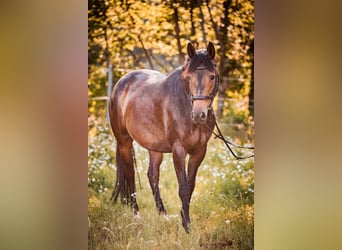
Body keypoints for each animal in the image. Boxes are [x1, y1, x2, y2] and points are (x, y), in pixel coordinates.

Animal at [108, 41, 219, 232]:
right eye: (189, 78)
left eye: (212, 76)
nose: (199, 115)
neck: (184, 103)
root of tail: (122, 81)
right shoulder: (178, 150)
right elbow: (183, 188)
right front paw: (186, 226)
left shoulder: (199, 151)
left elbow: (190, 186)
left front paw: (184, 218)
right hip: (124, 142)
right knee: (130, 175)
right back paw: (136, 213)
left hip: (154, 147)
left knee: (152, 175)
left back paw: (163, 215)